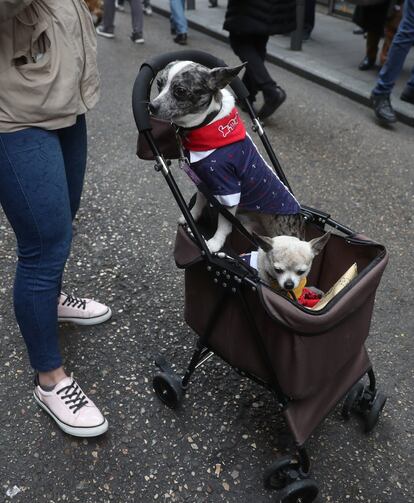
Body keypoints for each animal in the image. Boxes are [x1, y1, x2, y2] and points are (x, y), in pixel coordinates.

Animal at [150, 60, 304, 254]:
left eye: (180, 91)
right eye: (159, 84)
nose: (151, 106)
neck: (207, 124)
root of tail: (300, 219)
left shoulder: (228, 189)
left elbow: (223, 224)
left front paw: (215, 243)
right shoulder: (205, 182)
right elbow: (199, 202)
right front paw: (190, 218)